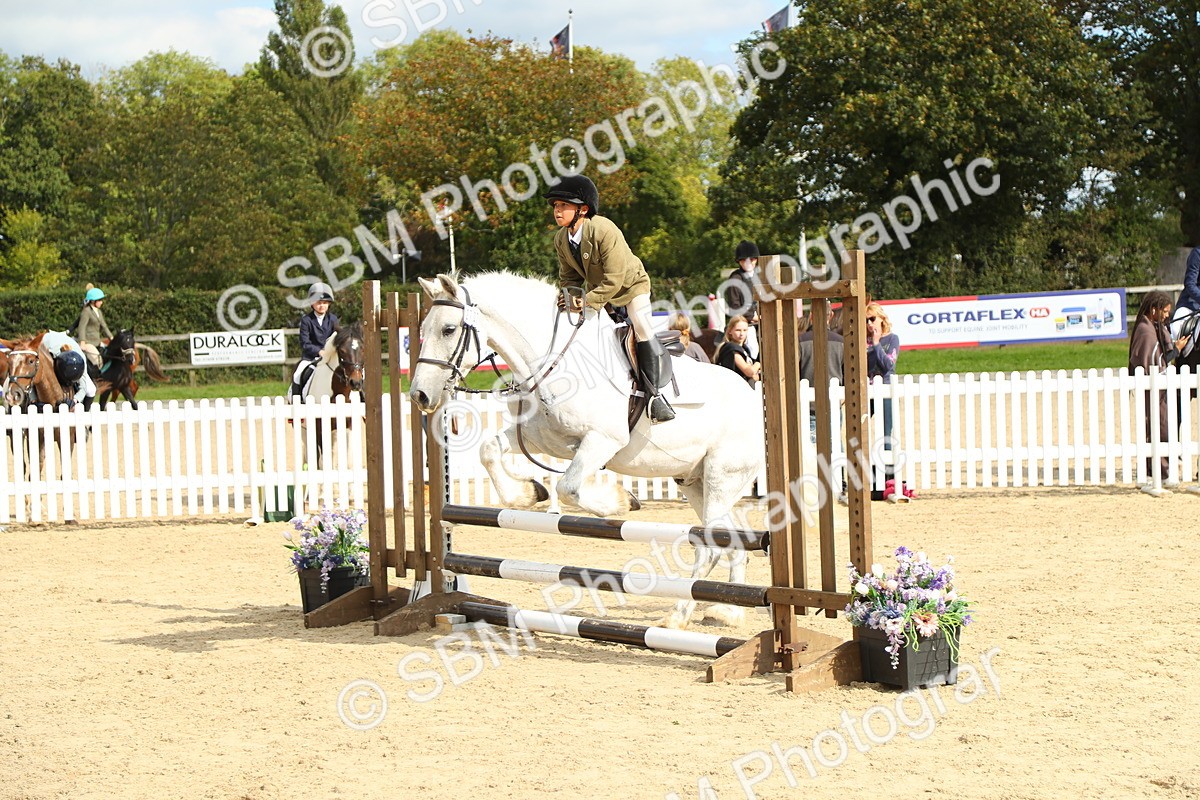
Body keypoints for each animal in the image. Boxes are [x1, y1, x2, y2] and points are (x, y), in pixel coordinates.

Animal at [408, 272, 765, 630]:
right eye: (423, 330)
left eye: (448, 329)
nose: (419, 395)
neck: (550, 362)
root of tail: (756, 401)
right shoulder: (538, 439)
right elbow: (489, 451)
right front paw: (528, 493)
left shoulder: (602, 440)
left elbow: (568, 487)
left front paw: (621, 501)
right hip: (695, 482)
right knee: (730, 540)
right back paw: (728, 612)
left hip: (721, 477)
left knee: (710, 546)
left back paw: (676, 616)